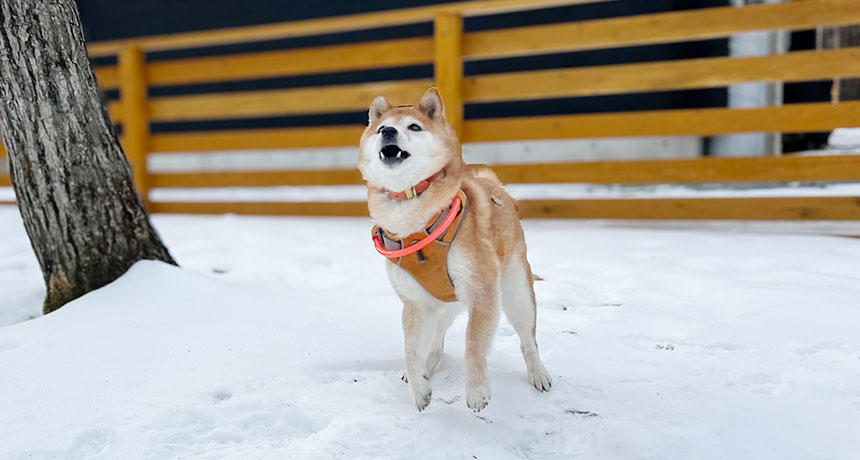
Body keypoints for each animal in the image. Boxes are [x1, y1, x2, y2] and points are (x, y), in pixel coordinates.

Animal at [356, 88, 552, 412]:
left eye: (414, 127)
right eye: (381, 127)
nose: (387, 131)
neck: (414, 215)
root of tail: (494, 185)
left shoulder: (483, 290)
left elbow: (473, 344)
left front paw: (476, 390)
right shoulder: (415, 302)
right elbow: (411, 350)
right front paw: (419, 388)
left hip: (517, 293)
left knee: (528, 339)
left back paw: (538, 373)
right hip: (440, 305)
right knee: (435, 342)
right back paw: (427, 367)